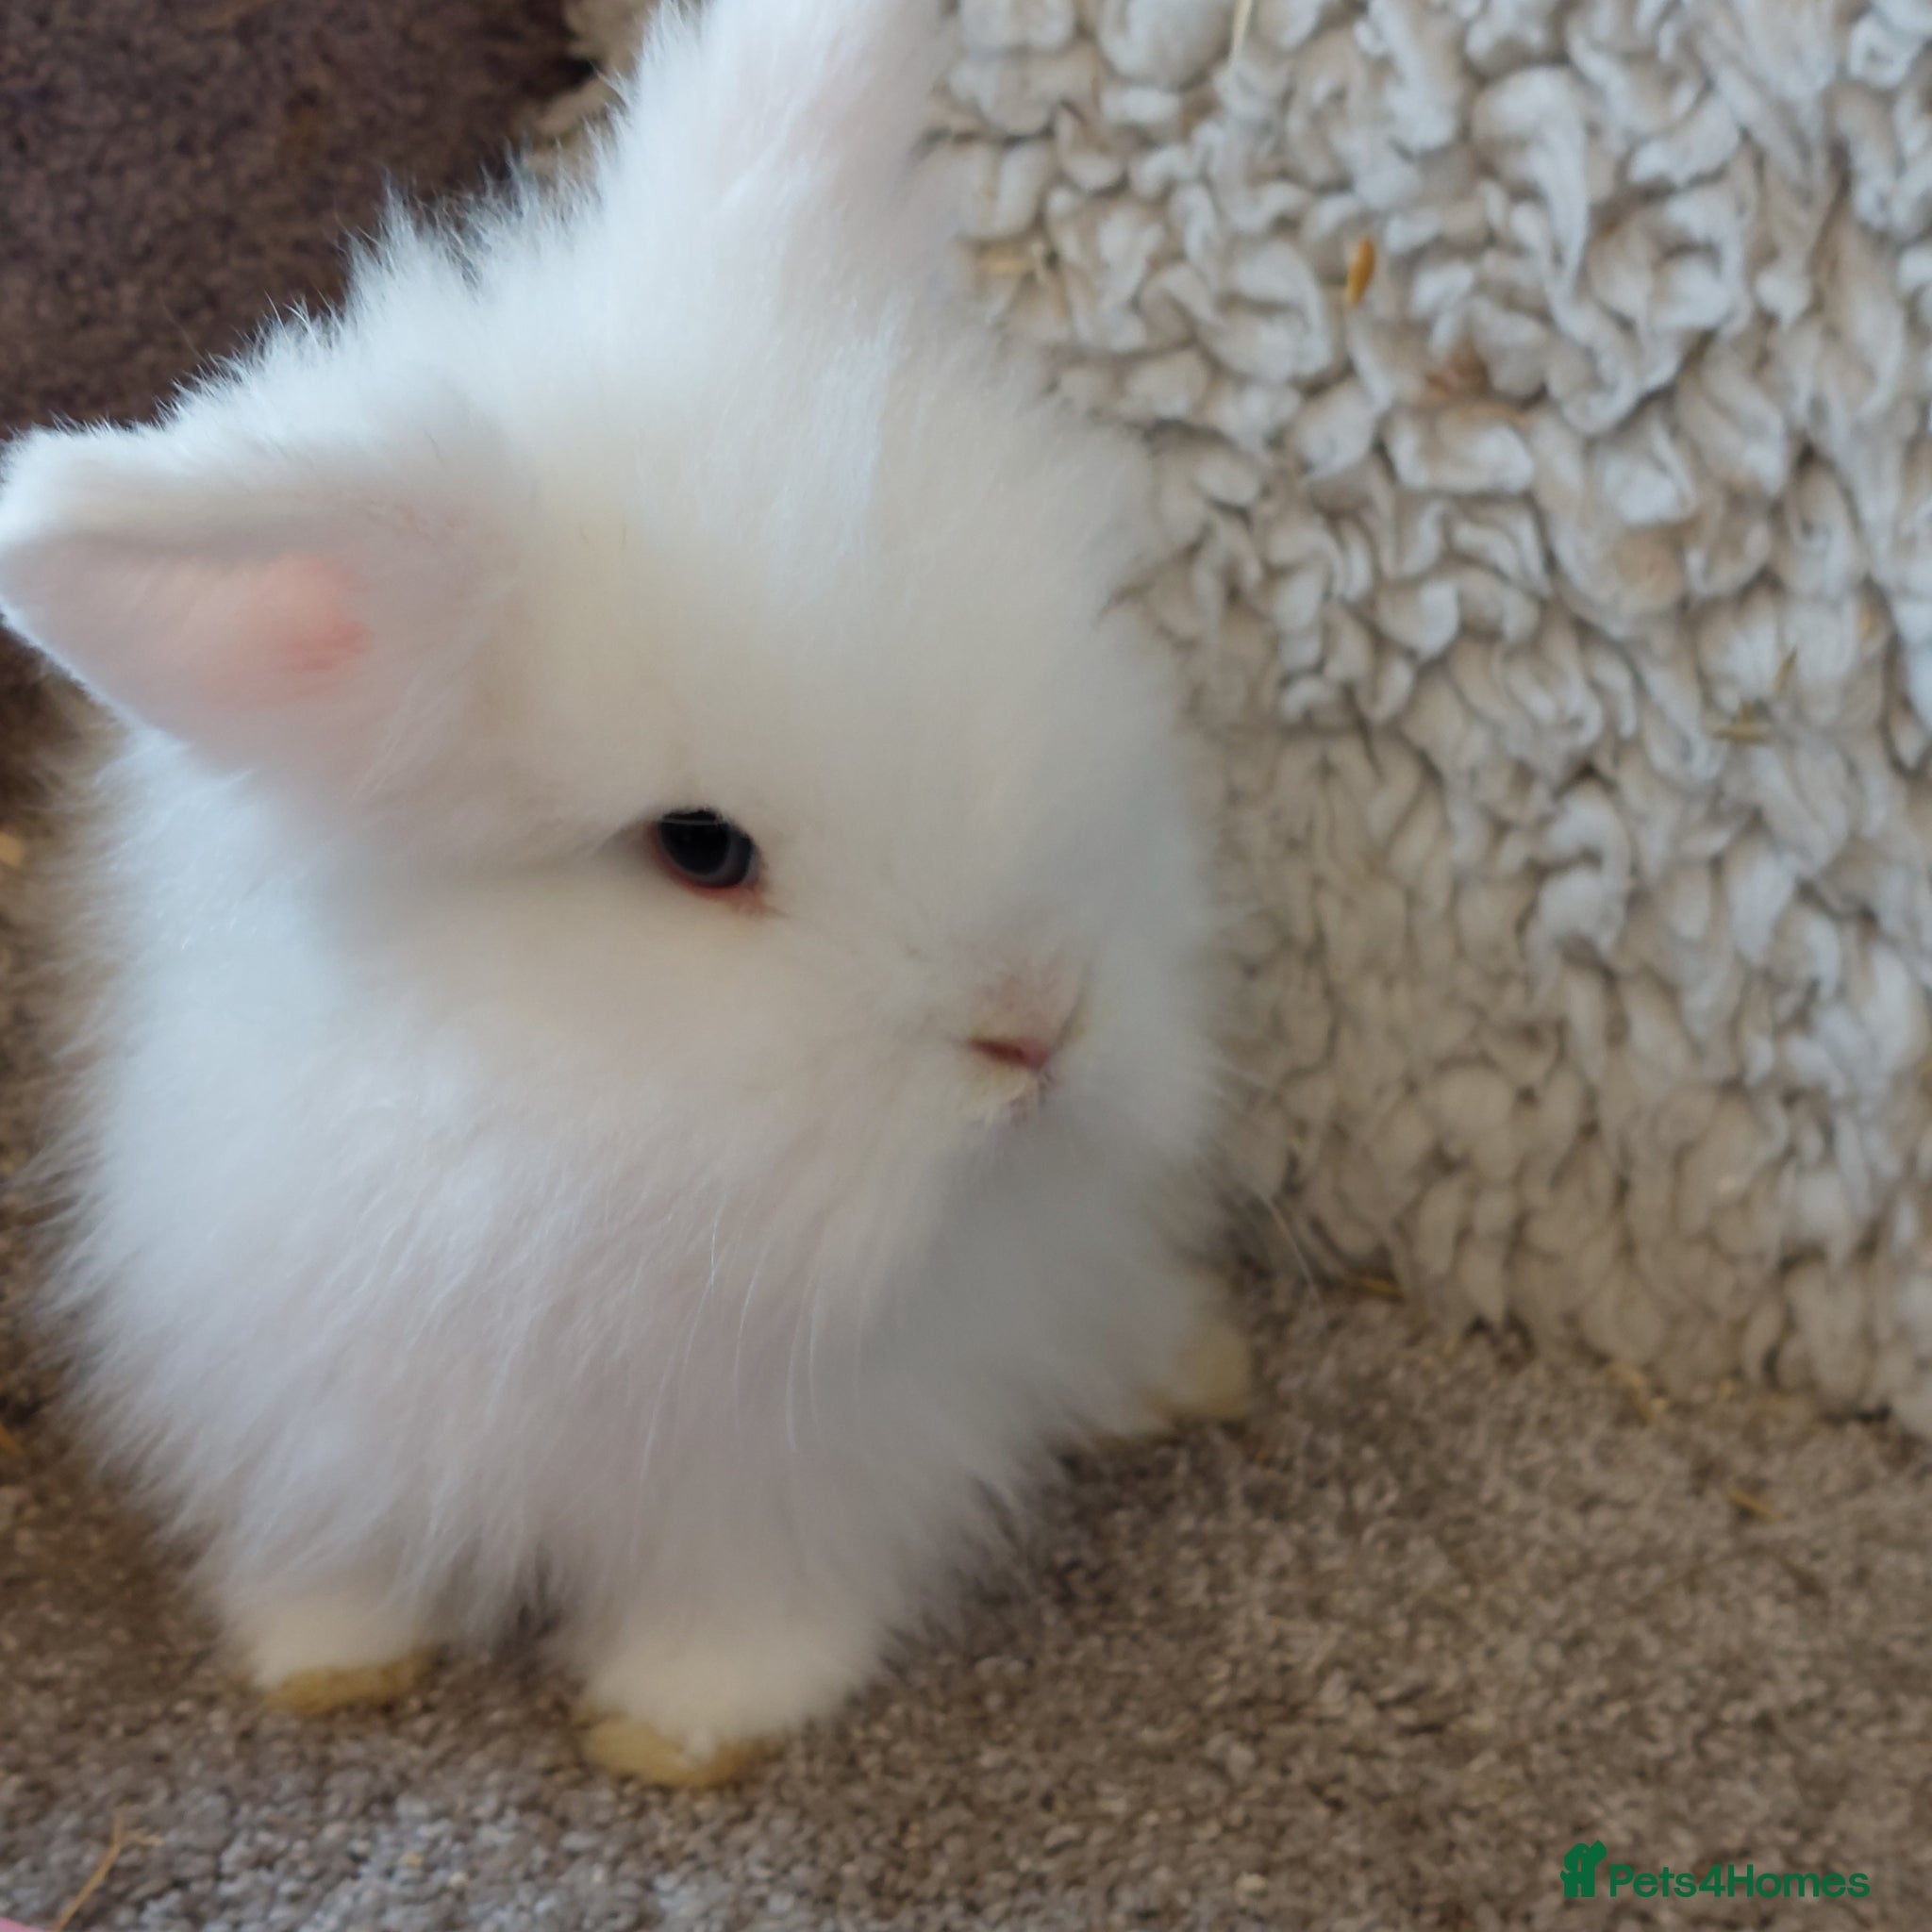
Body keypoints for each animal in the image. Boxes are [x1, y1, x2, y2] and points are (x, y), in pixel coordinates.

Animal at [0, 0, 1250, 1785]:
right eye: (699, 850)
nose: (1036, 1029)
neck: (545, 1158)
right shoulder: (310, 1403)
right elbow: (340, 1561)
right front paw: (322, 1659)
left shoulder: (792, 1484)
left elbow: (751, 1607)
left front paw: (681, 1724)